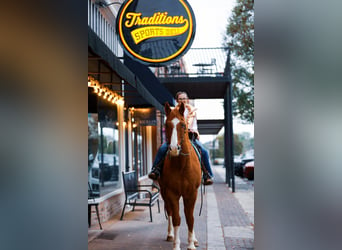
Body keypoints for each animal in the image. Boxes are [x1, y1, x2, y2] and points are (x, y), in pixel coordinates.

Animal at [158, 102, 202, 250]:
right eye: (166, 125)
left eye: (183, 125)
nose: (173, 149)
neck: (182, 166)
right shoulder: (172, 193)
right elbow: (176, 218)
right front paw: (176, 245)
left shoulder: (192, 193)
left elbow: (190, 218)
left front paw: (191, 244)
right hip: (164, 192)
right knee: (170, 212)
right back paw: (170, 234)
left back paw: (194, 239)